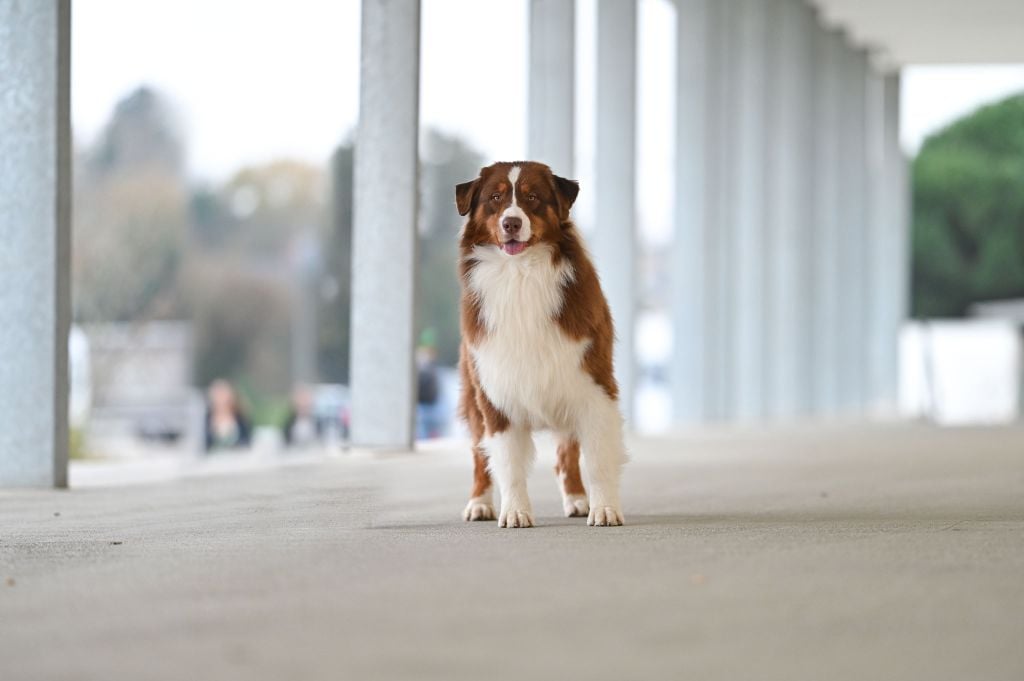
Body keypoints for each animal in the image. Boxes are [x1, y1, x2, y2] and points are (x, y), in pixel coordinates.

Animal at [454, 161, 622, 528]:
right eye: (495, 198)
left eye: (532, 197)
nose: (511, 223)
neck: (521, 274)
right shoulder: (495, 391)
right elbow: (507, 462)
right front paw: (515, 511)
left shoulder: (594, 384)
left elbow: (599, 457)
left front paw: (604, 508)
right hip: (473, 393)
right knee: (479, 455)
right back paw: (479, 503)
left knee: (566, 454)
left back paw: (577, 499)